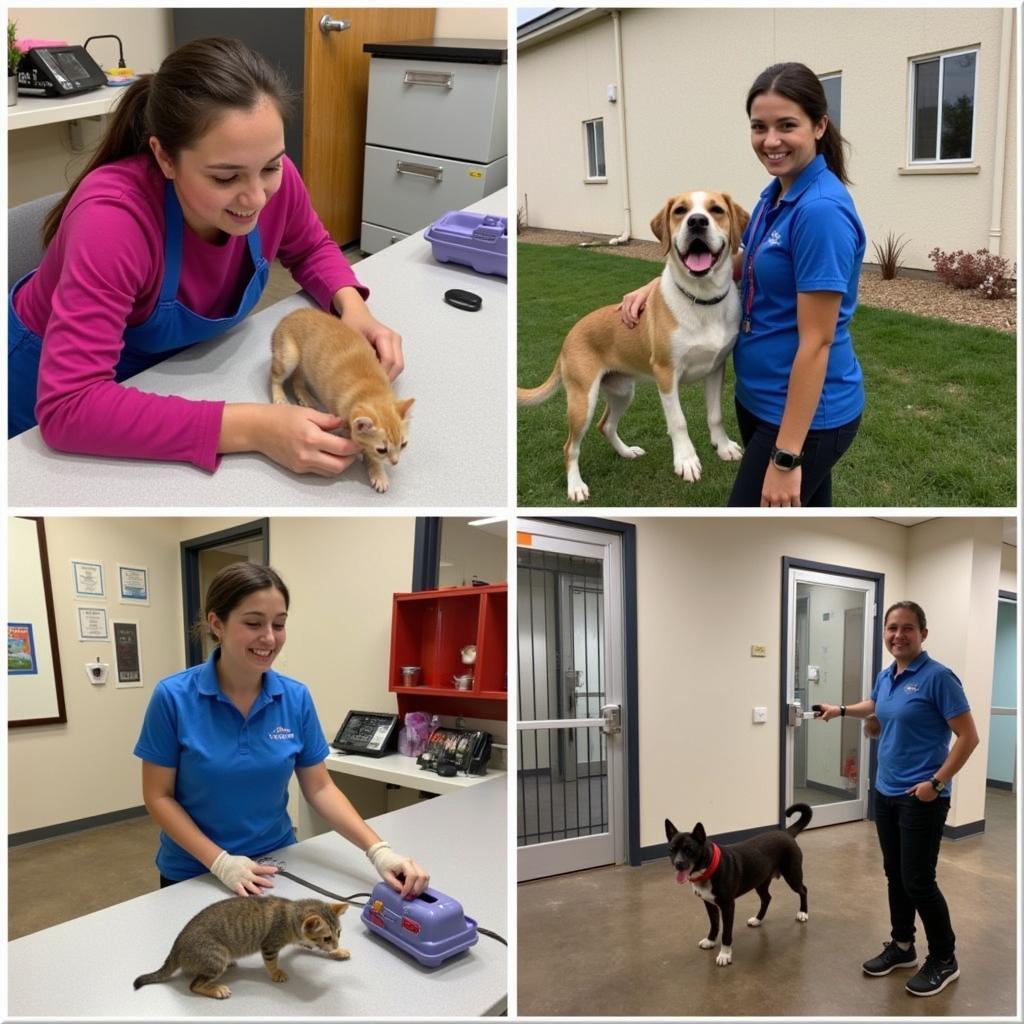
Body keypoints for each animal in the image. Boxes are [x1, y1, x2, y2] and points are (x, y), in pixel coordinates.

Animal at [133, 897, 348, 999]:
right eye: (327, 937)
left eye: (339, 933)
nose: (336, 944)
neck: (289, 914)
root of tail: (176, 948)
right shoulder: (270, 945)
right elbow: (271, 962)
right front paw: (276, 973)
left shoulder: (300, 937)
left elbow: (308, 944)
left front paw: (338, 951)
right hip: (215, 956)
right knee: (194, 985)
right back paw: (216, 990)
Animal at [274, 307, 417, 491]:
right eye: (382, 450)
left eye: (404, 445)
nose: (395, 462)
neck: (371, 389)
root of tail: (291, 314)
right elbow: (368, 453)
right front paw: (377, 471)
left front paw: (378, 472)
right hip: (289, 356)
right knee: (276, 377)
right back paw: (279, 396)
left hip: (305, 363)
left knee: (297, 378)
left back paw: (304, 396)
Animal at [524, 192, 749, 503]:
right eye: (680, 211)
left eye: (716, 210)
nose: (697, 222)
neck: (701, 300)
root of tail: (569, 336)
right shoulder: (666, 375)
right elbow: (678, 421)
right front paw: (686, 460)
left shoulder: (716, 368)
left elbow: (715, 415)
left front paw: (723, 446)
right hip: (582, 401)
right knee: (570, 446)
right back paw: (576, 486)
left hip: (621, 391)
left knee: (605, 425)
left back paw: (626, 452)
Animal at [663, 802, 815, 962]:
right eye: (672, 849)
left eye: (689, 850)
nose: (678, 864)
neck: (709, 867)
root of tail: (786, 833)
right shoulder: (709, 904)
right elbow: (714, 924)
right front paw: (710, 941)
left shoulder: (728, 906)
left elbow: (726, 932)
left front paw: (724, 954)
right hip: (760, 881)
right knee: (767, 898)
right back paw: (758, 919)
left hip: (792, 875)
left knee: (803, 890)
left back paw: (803, 913)